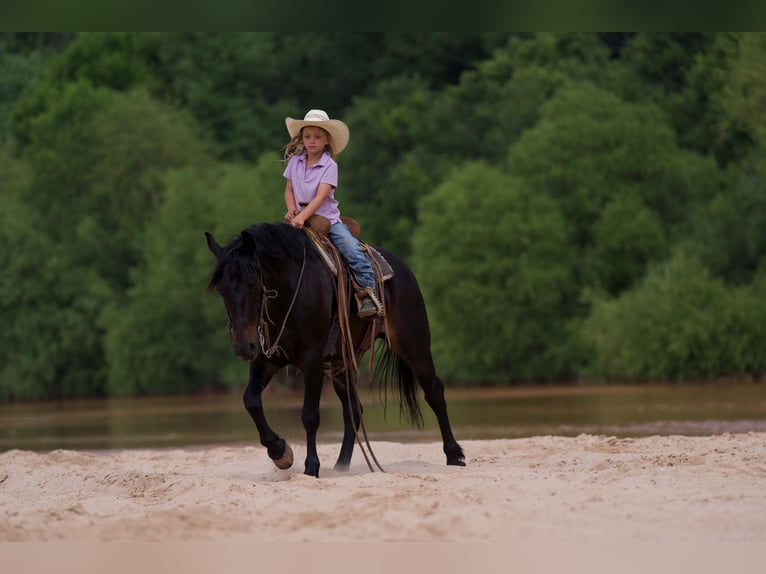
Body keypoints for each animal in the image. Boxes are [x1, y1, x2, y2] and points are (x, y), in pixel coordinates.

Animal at [206, 223, 468, 480]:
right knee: (353, 409)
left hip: (414, 345)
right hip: (344, 364)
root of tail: (402, 268)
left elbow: (310, 414)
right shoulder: (267, 358)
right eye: (221, 290)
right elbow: (250, 399)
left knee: (434, 392)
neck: (290, 292)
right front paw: (280, 452)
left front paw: (311, 467)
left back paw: (454, 455)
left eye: (253, 286)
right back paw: (342, 465)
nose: (242, 346)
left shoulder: (313, 358)